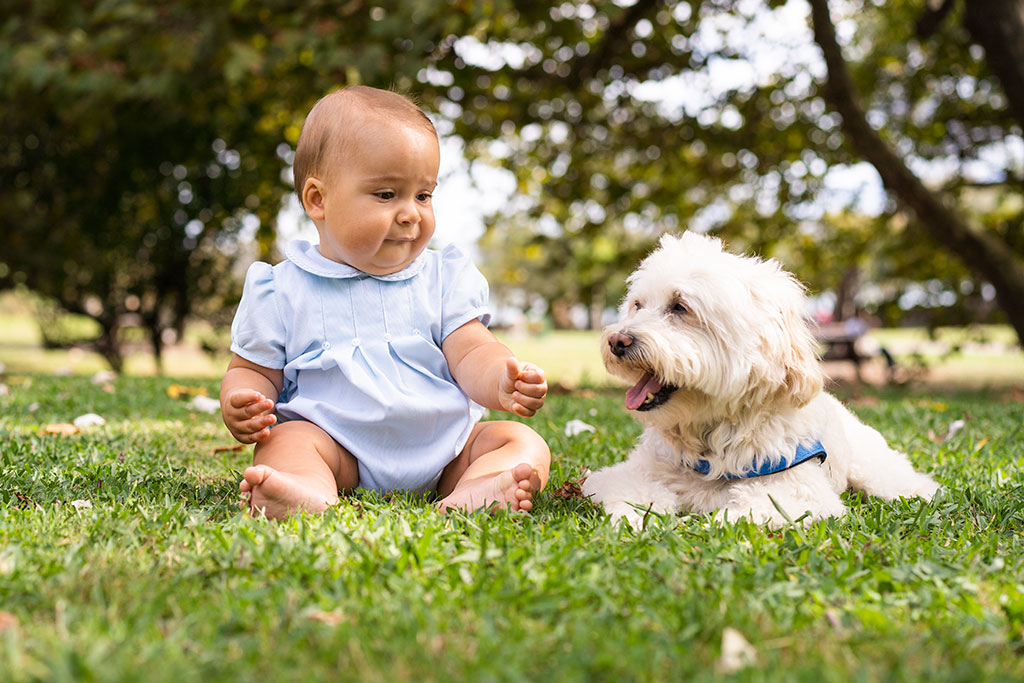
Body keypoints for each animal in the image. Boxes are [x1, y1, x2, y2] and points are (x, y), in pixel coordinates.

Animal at [581, 232, 937, 528]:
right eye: (637, 305)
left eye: (680, 307)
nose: (617, 341)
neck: (710, 431)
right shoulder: (633, 473)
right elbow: (627, 491)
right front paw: (634, 519)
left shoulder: (801, 490)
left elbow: (750, 507)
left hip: (875, 471)